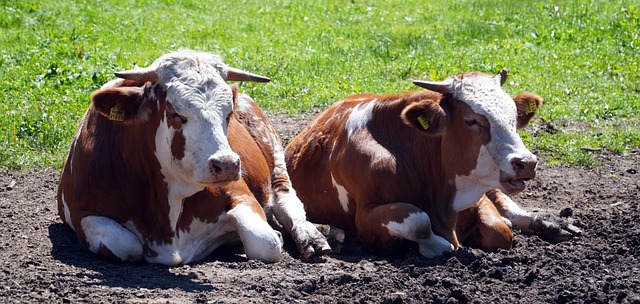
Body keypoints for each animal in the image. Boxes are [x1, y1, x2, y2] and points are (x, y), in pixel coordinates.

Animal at [56, 50, 330, 266]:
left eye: (228, 113)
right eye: (176, 113)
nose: (227, 165)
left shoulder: (241, 194)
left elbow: (267, 243)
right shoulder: (82, 213)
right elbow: (127, 246)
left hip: (273, 150)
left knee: (285, 199)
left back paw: (312, 235)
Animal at [284, 69, 580, 256]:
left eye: (513, 118)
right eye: (471, 121)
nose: (526, 162)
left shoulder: (473, 192)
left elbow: (499, 229)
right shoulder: (365, 217)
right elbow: (419, 220)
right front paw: (437, 246)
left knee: (508, 207)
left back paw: (553, 224)